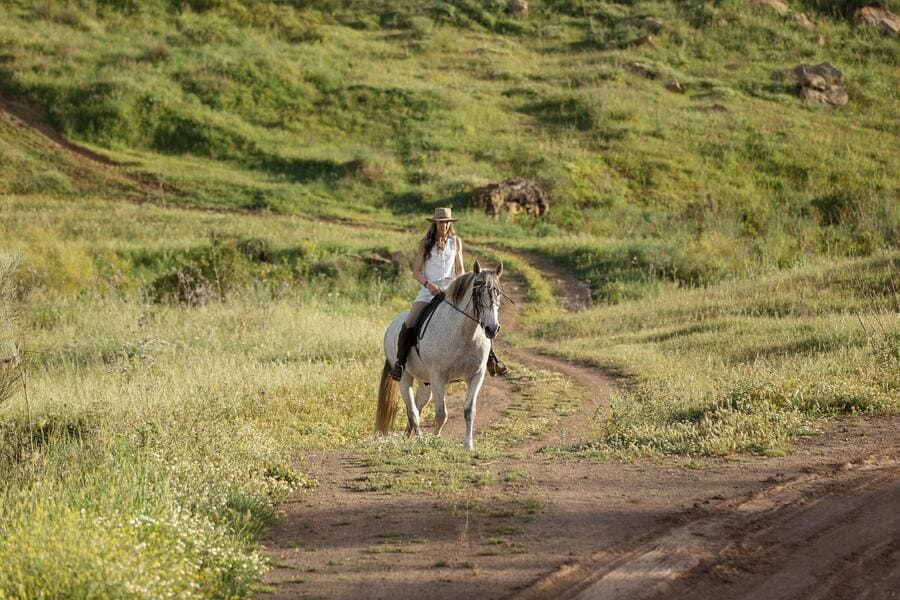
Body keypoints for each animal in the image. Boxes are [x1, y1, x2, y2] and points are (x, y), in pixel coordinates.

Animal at [370, 262, 500, 450]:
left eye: (498, 293)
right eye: (477, 294)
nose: (492, 329)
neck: (464, 333)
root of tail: (391, 326)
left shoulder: (476, 375)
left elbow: (469, 411)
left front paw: (468, 446)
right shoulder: (438, 377)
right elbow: (441, 414)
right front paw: (434, 440)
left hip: (426, 383)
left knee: (417, 407)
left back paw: (407, 438)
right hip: (405, 377)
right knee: (413, 411)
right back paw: (419, 440)